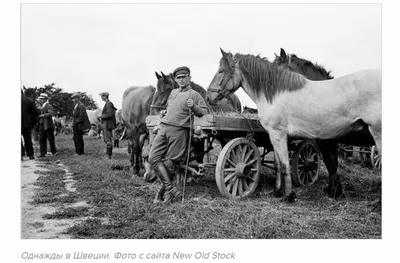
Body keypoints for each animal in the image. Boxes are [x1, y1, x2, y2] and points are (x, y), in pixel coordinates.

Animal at [206, 49, 382, 202]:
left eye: (221, 70)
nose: (208, 97)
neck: (276, 93)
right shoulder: (275, 137)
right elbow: (278, 165)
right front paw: (277, 191)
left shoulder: (280, 135)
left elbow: (286, 166)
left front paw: (289, 196)